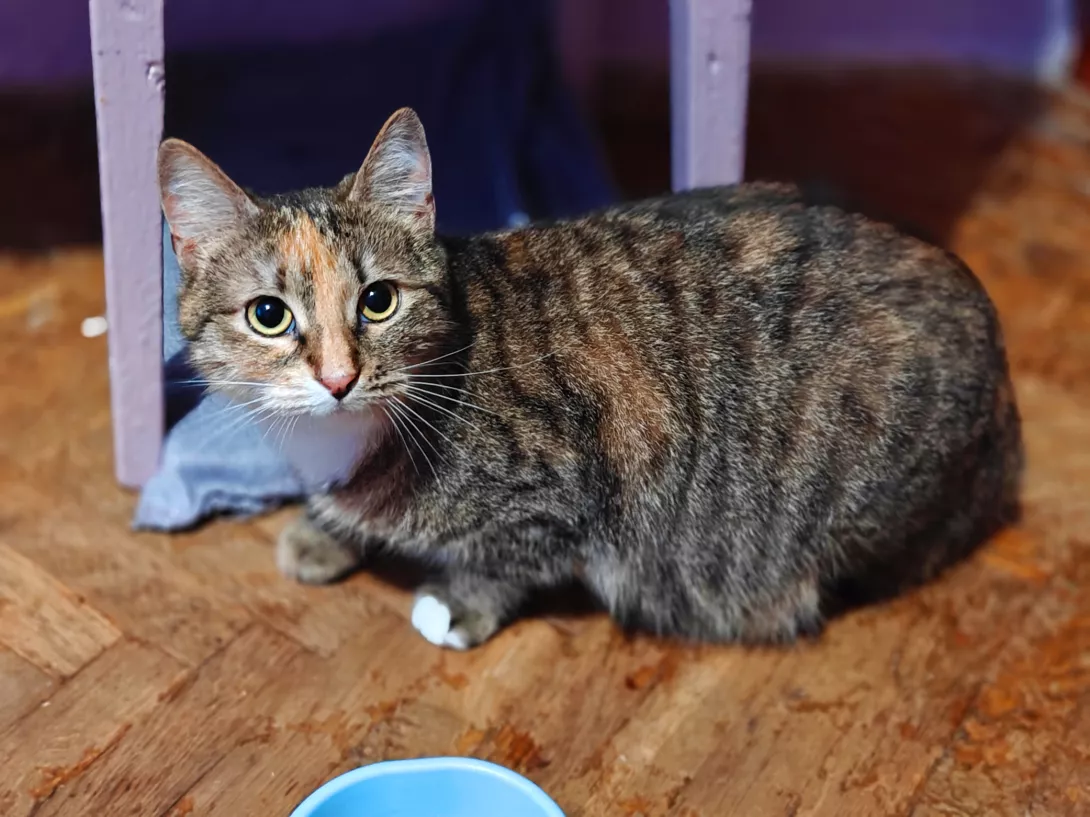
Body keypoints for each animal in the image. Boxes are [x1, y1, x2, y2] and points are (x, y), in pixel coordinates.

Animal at [157, 107, 1023, 650]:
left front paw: (452, 604)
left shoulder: (560, 487)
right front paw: (323, 528)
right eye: (269, 315)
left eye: (378, 300)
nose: (339, 376)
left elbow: (505, 557)